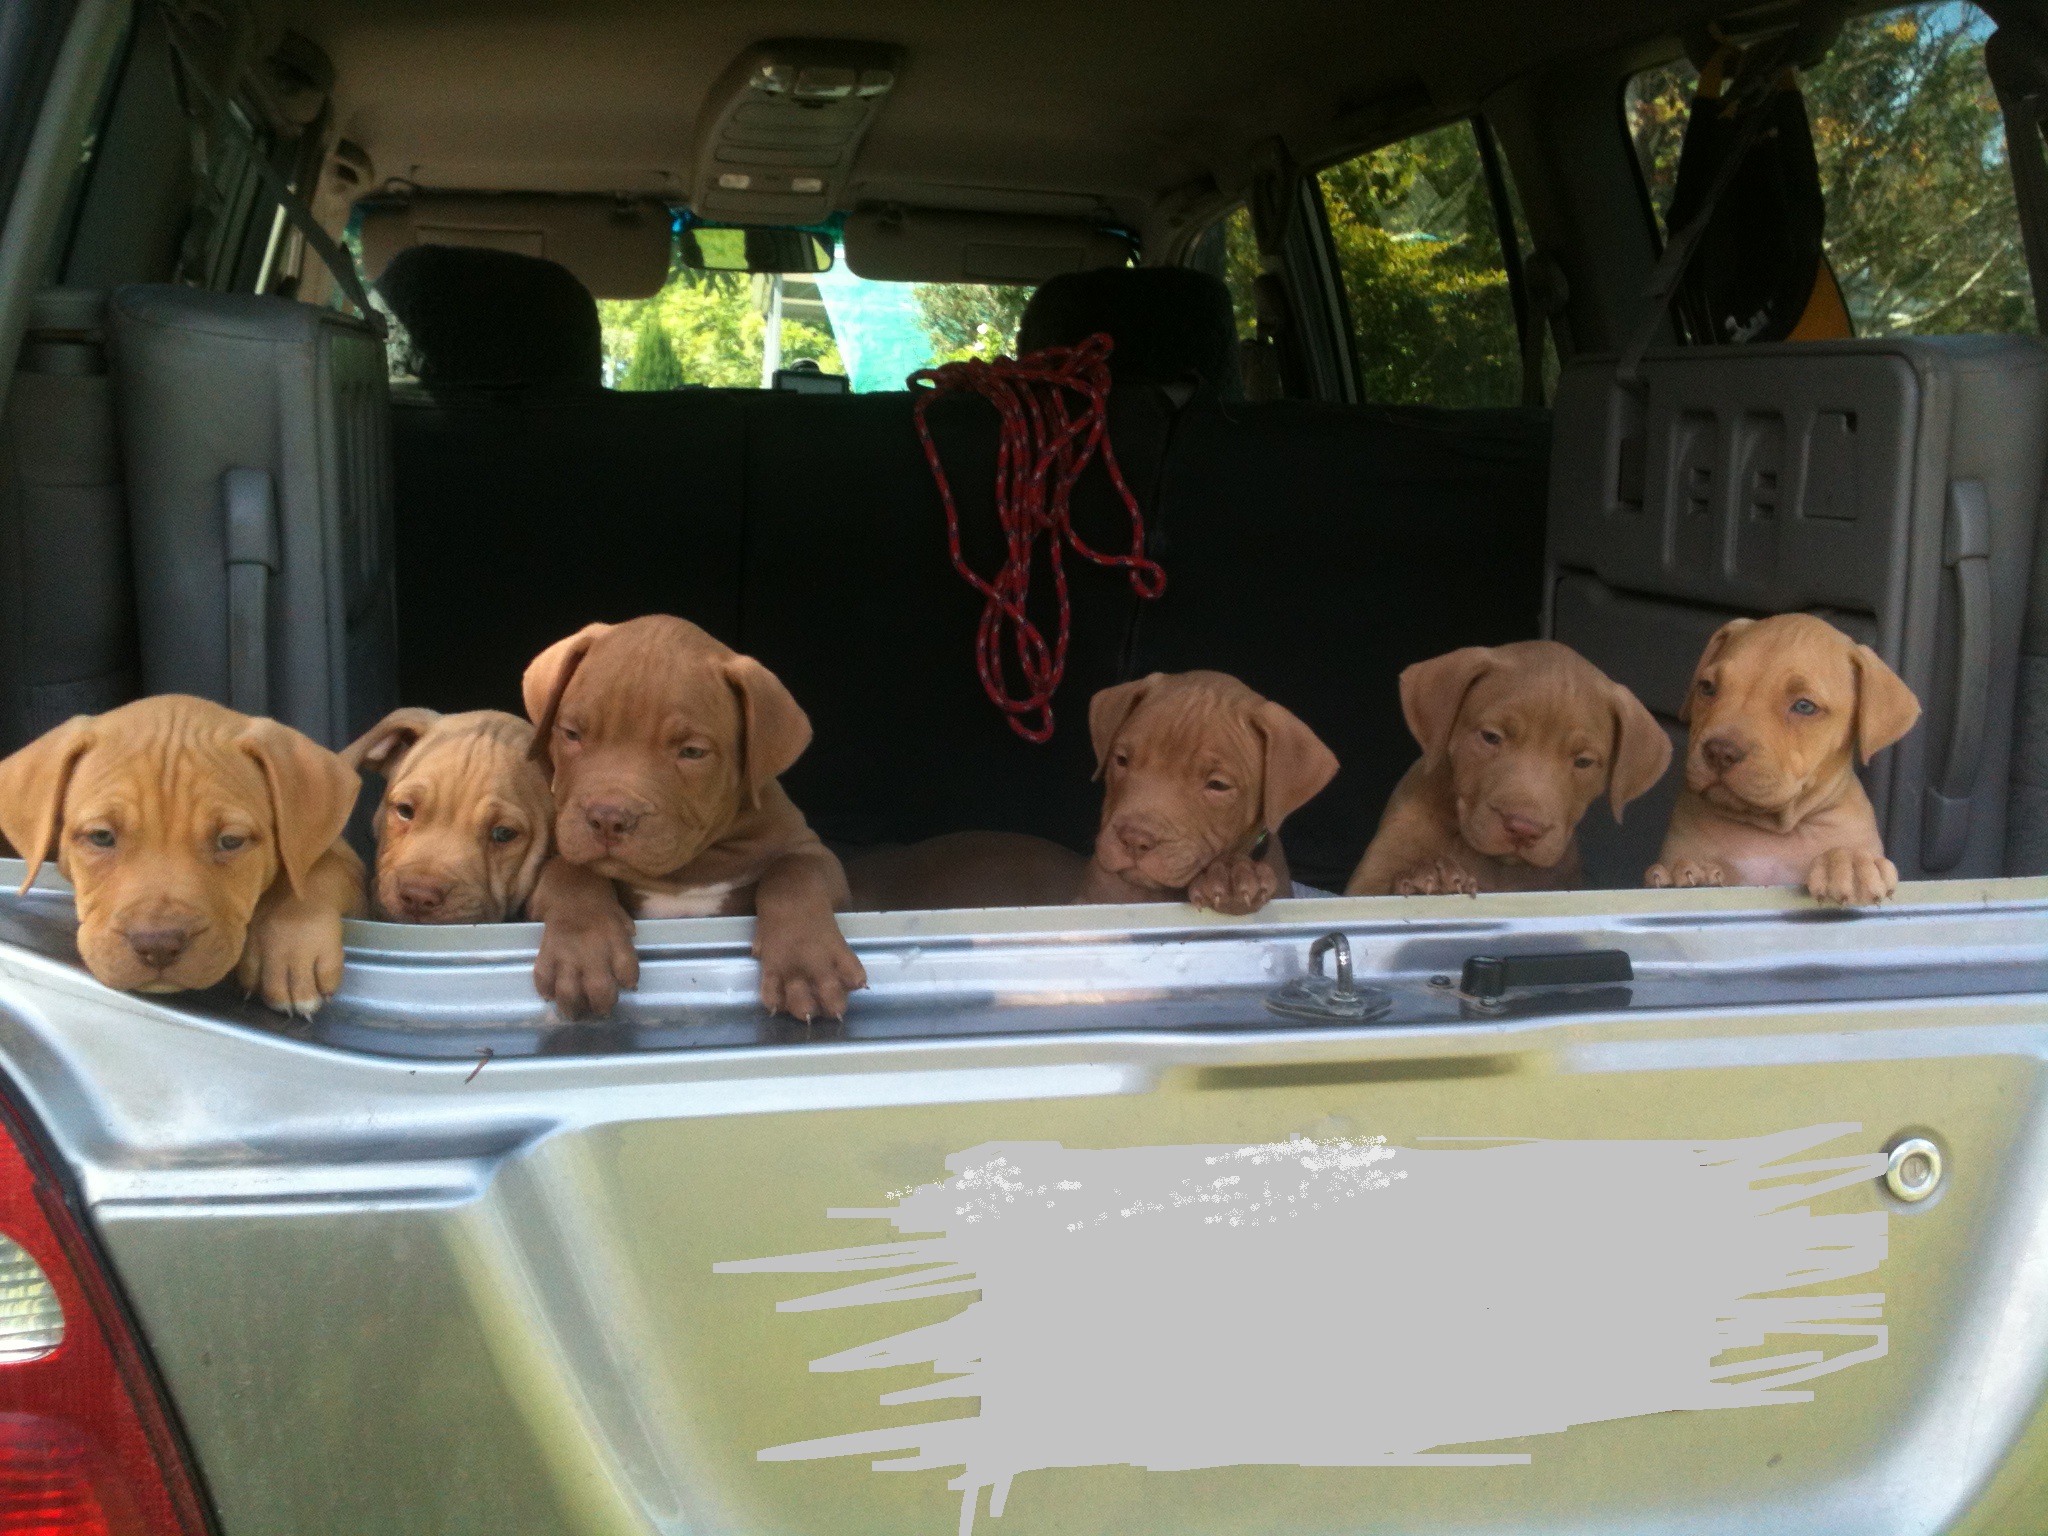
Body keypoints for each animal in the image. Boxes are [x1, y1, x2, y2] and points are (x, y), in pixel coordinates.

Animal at [0, 694, 364, 1014]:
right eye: (101, 836)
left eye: (230, 841)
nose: (158, 946)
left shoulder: (345, 861)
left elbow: (315, 871)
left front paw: (290, 956)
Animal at [522, 616, 867, 1022]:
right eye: (571, 733)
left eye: (692, 752)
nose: (607, 818)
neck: (686, 872)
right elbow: (568, 872)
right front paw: (580, 959)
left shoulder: (813, 852)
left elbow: (795, 873)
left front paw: (808, 967)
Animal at [1646, 613, 1920, 904]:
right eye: (1707, 687)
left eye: (1804, 706)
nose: (1719, 752)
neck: (1775, 830)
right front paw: (1685, 872)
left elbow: (1846, 851)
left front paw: (1851, 864)